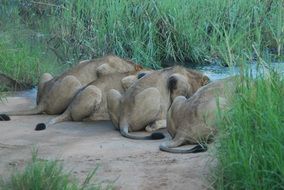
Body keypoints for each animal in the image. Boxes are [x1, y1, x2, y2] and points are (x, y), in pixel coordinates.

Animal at [0, 55, 142, 120]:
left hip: (46, 75)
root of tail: (43, 101)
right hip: (73, 81)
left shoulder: (83, 61)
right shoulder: (104, 69)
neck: (128, 63)